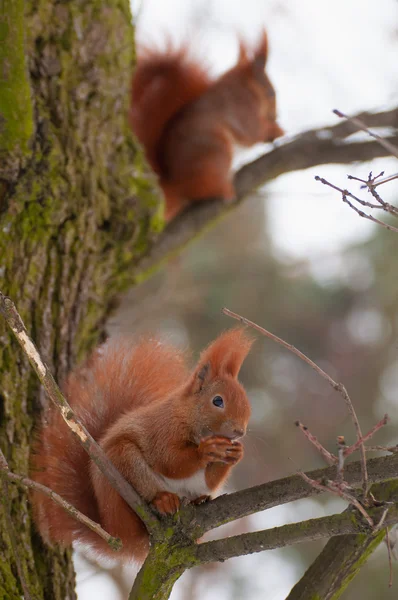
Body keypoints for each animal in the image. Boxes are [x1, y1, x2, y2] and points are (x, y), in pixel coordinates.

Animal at [32, 328, 253, 564]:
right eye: (217, 401)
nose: (240, 431)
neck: (187, 415)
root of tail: (114, 530)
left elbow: (210, 480)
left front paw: (236, 453)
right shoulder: (163, 429)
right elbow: (169, 461)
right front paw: (205, 451)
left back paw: (199, 499)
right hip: (125, 461)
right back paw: (163, 499)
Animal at [130, 32, 282, 220]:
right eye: (271, 93)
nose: (276, 115)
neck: (244, 86)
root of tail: (174, 184)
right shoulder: (243, 107)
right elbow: (251, 132)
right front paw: (278, 130)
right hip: (217, 151)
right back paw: (225, 191)